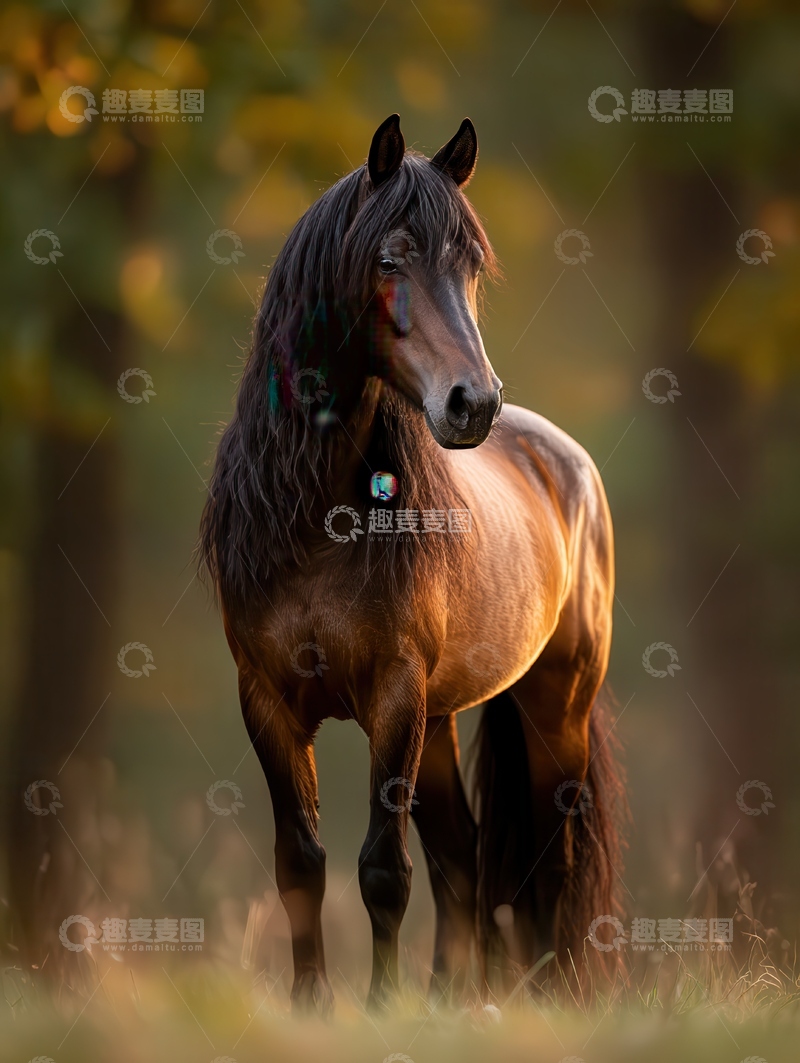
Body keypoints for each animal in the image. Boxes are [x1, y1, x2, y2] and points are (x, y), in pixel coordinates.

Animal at [199, 113, 625, 1015]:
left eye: (468, 263)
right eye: (389, 259)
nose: (473, 402)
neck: (316, 525)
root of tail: (564, 459)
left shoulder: (395, 696)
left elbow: (382, 871)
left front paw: (378, 1005)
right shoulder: (269, 702)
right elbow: (302, 865)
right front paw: (315, 1003)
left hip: (552, 711)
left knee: (548, 865)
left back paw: (549, 995)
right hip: (441, 724)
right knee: (463, 856)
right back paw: (452, 1000)